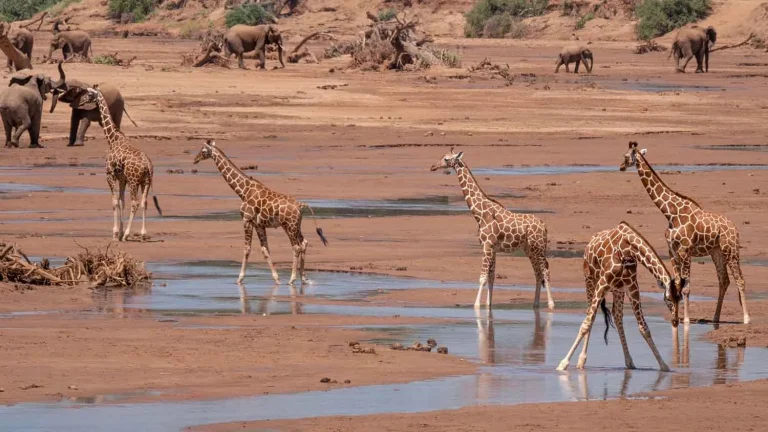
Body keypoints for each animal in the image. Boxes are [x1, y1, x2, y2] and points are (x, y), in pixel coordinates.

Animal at [83, 86, 162, 241]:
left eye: (89, 93)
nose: (82, 100)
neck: (112, 139)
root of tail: (148, 166)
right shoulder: (122, 179)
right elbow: (121, 201)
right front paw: (119, 231)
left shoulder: (110, 175)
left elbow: (114, 202)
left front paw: (116, 233)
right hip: (146, 181)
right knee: (144, 202)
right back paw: (143, 234)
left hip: (134, 180)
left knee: (135, 202)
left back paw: (127, 234)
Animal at [193, 139, 328, 284]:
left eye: (203, 151)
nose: (195, 159)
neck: (243, 191)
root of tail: (301, 205)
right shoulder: (259, 225)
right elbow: (265, 250)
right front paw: (276, 278)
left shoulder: (246, 220)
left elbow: (247, 249)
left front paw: (239, 278)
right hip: (296, 226)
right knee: (304, 243)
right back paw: (303, 278)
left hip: (289, 226)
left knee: (296, 247)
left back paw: (292, 279)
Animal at [431, 149, 554, 310]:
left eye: (446, 159)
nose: (433, 166)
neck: (480, 214)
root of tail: (544, 226)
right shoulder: (492, 248)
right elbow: (491, 277)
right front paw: (488, 305)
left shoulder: (487, 246)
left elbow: (482, 278)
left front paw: (476, 305)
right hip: (529, 249)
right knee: (538, 273)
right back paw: (535, 303)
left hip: (538, 247)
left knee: (545, 271)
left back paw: (551, 304)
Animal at [557, 222, 680, 372]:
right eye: (667, 299)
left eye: (680, 298)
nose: (675, 320)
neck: (627, 249)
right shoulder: (603, 283)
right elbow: (586, 323)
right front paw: (563, 363)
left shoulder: (632, 287)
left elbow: (644, 328)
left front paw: (663, 365)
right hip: (590, 280)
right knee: (589, 314)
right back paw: (581, 360)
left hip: (617, 290)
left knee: (617, 316)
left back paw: (629, 361)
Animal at [620, 141, 749, 324]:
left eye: (626, 156)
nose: (621, 167)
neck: (671, 213)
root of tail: (734, 228)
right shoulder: (673, 251)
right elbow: (678, 286)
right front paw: (677, 318)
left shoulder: (685, 251)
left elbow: (687, 288)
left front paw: (687, 320)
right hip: (716, 252)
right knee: (724, 280)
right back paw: (715, 318)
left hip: (730, 249)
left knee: (740, 279)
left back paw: (746, 318)